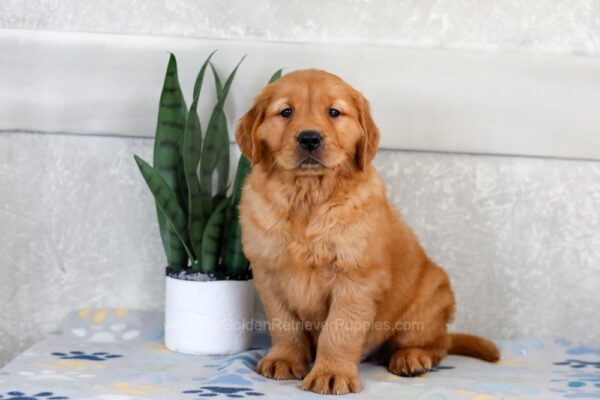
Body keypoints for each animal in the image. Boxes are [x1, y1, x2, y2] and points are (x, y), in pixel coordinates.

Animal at [237, 69, 500, 394]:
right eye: (286, 112)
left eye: (334, 112)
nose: (310, 138)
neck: (308, 197)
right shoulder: (269, 274)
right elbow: (284, 323)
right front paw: (284, 359)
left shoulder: (356, 276)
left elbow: (339, 330)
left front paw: (331, 373)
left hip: (426, 307)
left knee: (438, 345)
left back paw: (411, 358)